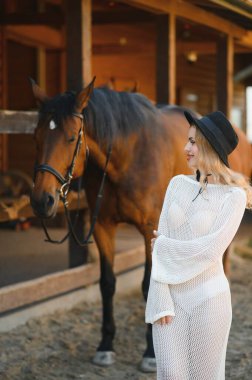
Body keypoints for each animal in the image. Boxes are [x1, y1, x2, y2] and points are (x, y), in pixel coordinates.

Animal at [30, 78, 252, 372]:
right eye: (36, 137)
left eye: (70, 137)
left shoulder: (151, 229)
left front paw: (150, 352)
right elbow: (107, 283)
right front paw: (105, 346)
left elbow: (148, 284)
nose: (41, 201)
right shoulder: (103, 227)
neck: (127, 155)